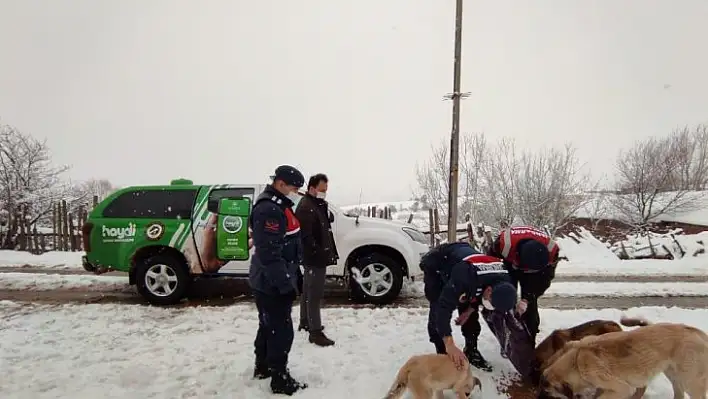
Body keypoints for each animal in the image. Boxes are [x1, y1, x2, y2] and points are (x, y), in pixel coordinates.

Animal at [536, 318, 708, 399]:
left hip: (690, 381)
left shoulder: (622, 388)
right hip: (674, 376)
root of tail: (698, 333)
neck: (576, 361)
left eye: (547, 391)